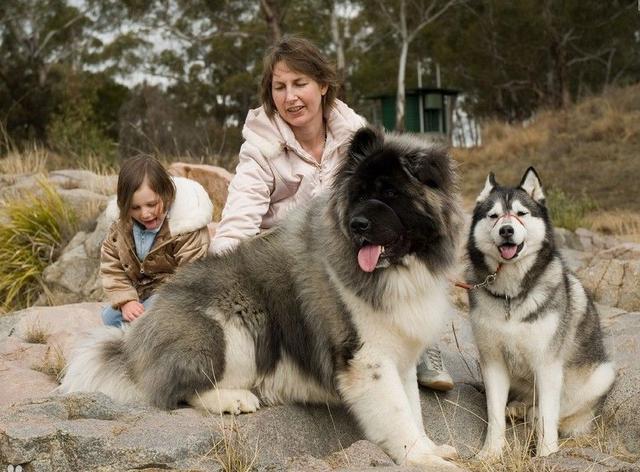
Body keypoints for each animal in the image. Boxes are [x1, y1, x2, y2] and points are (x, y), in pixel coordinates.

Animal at [60, 126, 462, 468]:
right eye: (359, 195)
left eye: (390, 194)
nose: (357, 225)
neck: (399, 268)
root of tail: (133, 343)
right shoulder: (368, 359)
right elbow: (397, 414)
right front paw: (421, 457)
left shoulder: (401, 355)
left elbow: (412, 407)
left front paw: (430, 448)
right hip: (237, 327)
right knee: (176, 390)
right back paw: (233, 399)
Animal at [470, 168, 616, 460]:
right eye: (493, 215)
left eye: (521, 213)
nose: (506, 229)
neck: (511, 296)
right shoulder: (492, 362)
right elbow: (494, 414)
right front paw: (491, 451)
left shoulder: (547, 365)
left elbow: (549, 416)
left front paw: (547, 453)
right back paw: (517, 407)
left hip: (603, 374)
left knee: (556, 412)